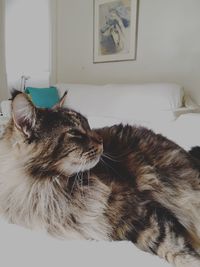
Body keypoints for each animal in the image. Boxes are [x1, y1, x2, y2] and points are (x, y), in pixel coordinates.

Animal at [0, 91, 200, 266]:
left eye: (88, 125)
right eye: (75, 133)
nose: (101, 140)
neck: (50, 188)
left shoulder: (139, 210)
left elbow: (176, 249)